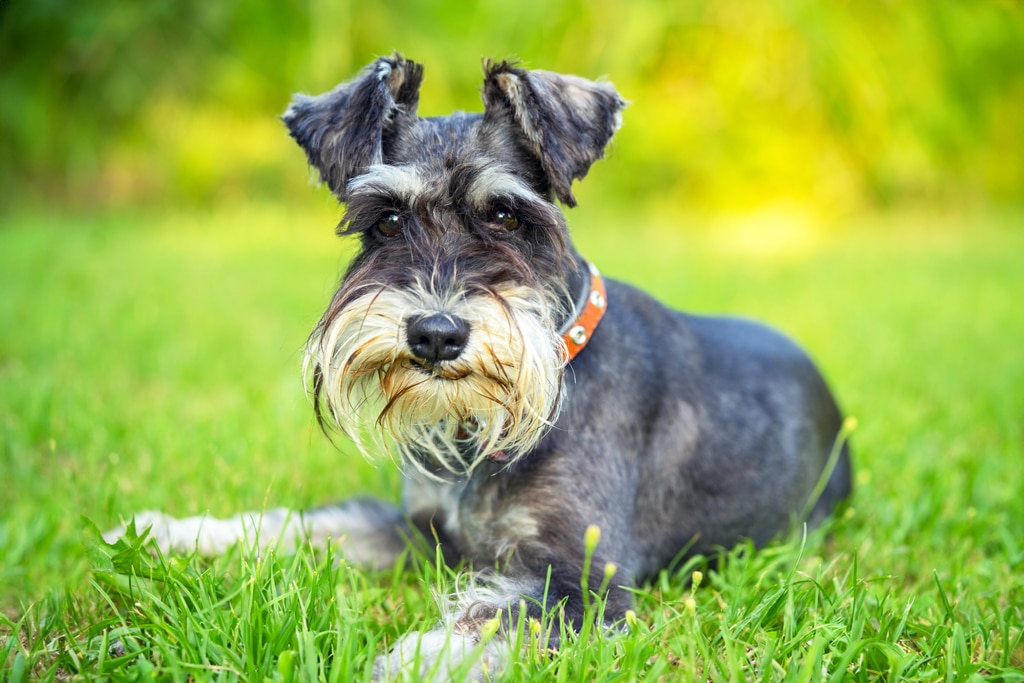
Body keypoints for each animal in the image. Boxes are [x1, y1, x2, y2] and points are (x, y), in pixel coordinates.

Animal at [108, 56, 851, 679]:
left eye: (506, 214)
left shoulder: (585, 582)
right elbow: (306, 524)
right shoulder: (421, 530)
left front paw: (407, 662)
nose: (435, 335)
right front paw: (168, 532)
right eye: (386, 219)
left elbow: (489, 618)